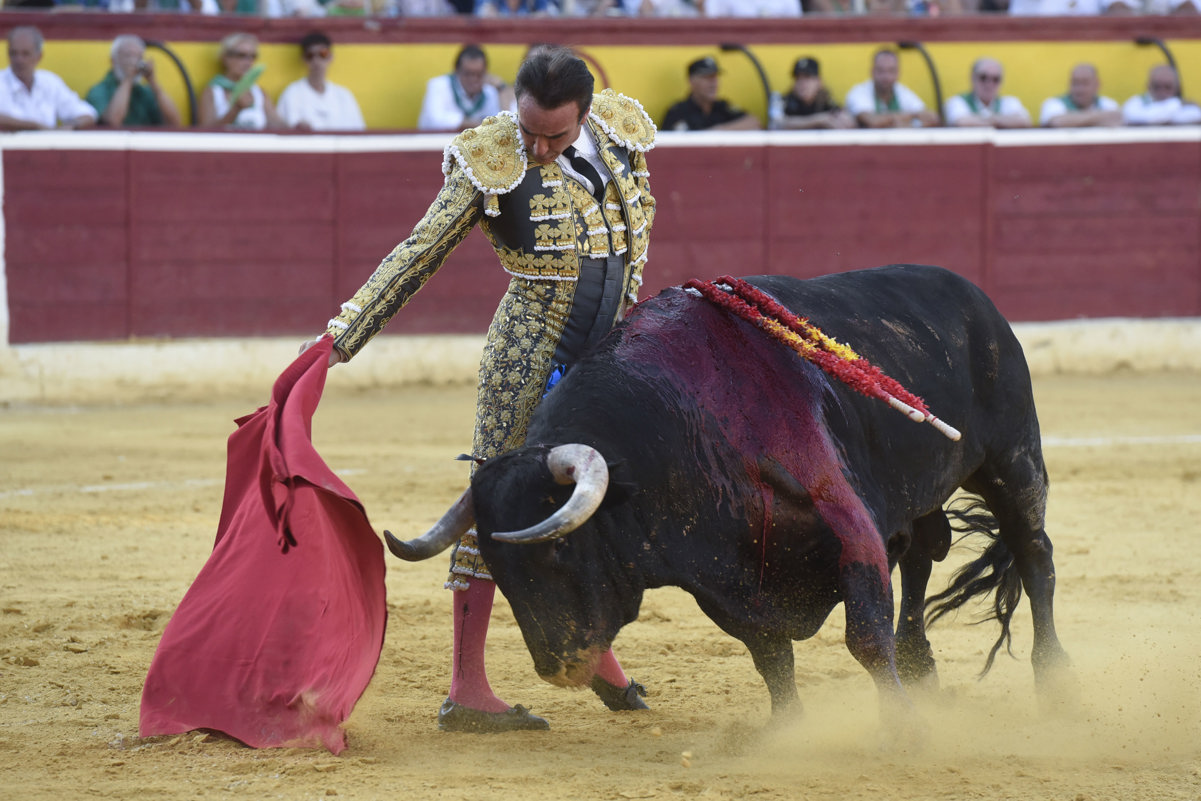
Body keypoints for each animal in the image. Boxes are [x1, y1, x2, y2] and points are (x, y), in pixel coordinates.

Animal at [389, 266, 1076, 725]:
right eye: (497, 568)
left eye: (559, 549)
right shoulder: (720, 577)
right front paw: (788, 732)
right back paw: (921, 662)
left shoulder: (847, 517)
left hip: (1012, 457)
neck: (686, 422)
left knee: (1034, 555)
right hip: (920, 490)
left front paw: (903, 729)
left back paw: (1053, 679)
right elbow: (769, 654)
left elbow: (863, 636)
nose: (558, 666)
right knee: (924, 553)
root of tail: (970, 292)